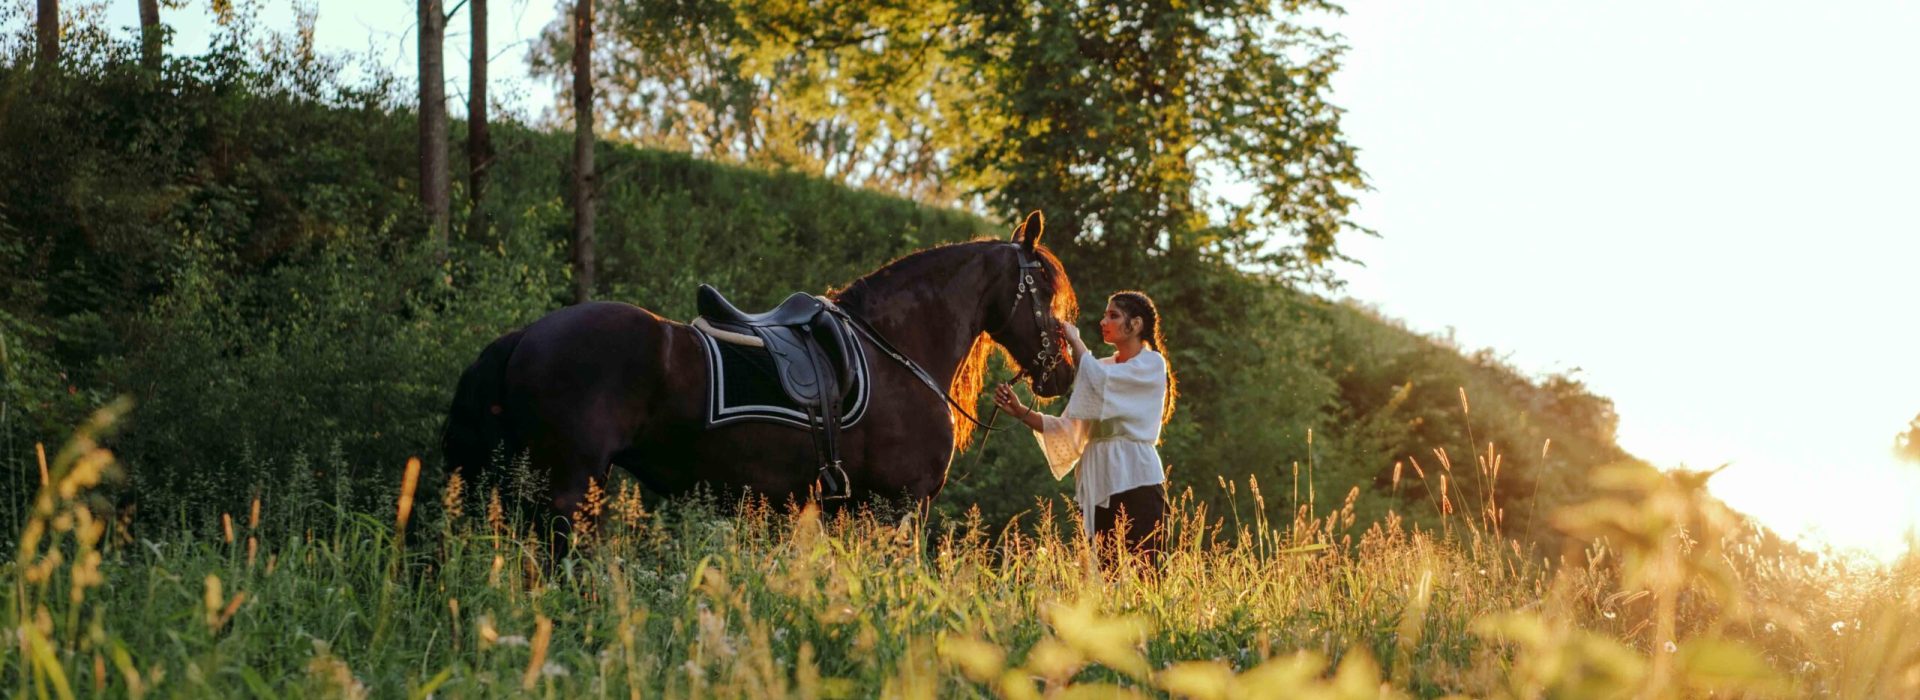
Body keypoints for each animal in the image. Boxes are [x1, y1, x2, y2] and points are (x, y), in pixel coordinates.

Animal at [440, 212, 1079, 545]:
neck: (893, 350)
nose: (1064, 372)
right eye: (1045, 291)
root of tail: (527, 334)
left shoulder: (843, 510)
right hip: (571, 489)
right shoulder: (898, 506)